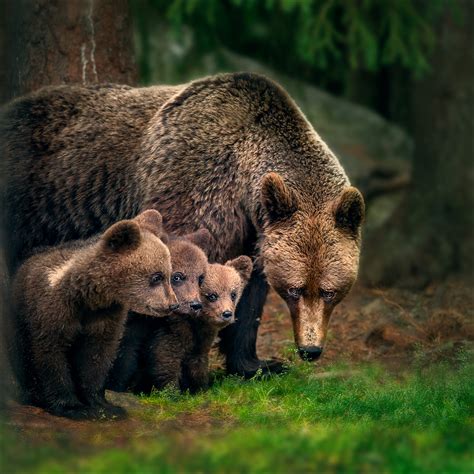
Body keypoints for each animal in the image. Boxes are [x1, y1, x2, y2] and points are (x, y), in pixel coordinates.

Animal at [0, 73, 362, 378]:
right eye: (295, 289)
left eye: (329, 291)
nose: (310, 350)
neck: (243, 186)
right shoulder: (195, 189)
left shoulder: (256, 233)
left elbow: (249, 296)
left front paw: (258, 364)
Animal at [11, 211, 178, 418]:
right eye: (156, 276)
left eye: (169, 274)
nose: (173, 304)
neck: (86, 296)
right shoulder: (52, 310)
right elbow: (50, 354)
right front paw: (72, 406)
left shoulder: (104, 316)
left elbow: (97, 355)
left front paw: (103, 404)